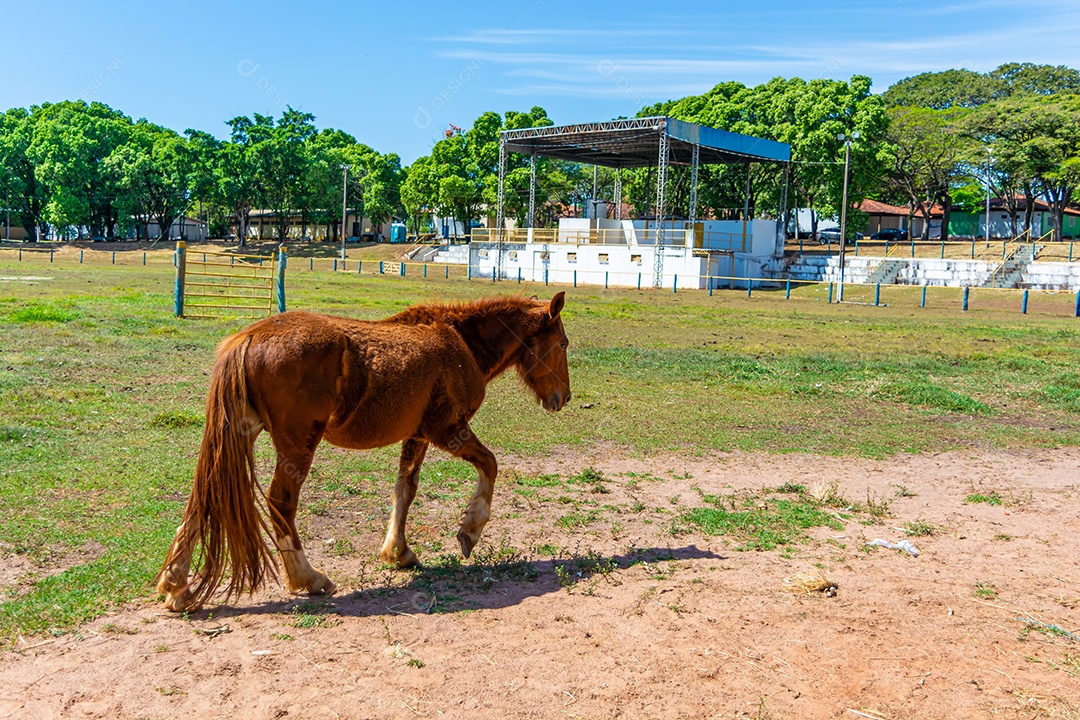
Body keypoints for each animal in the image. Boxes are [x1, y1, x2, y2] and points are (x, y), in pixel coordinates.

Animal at [156, 292, 570, 612]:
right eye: (563, 344)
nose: (563, 397)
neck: (461, 342)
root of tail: (251, 336)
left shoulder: (417, 436)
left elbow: (405, 490)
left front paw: (398, 551)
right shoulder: (447, 430)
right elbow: (490, 465)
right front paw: (470, 530)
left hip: (238, 436)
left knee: (205, 498)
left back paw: (176, 584)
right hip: (297, 444)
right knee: (280, 504)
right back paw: (308, 578)